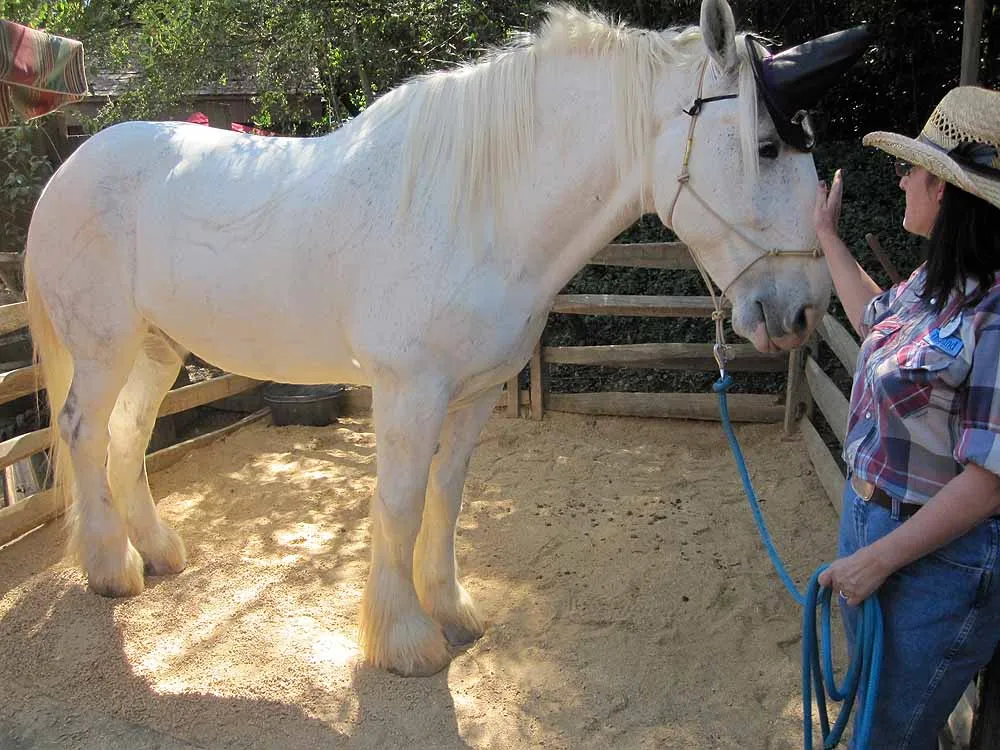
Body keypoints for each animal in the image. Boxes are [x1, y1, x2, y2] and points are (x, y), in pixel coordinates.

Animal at [24, 0, 830, 676]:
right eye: (765, 146)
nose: (805, 310)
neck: (476, 208)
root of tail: (71, 167)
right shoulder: (409, 391)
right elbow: (401, 503)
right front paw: (405, 639)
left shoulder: (474, 395)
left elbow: (446, 498)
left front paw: (450, 608)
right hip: (104, 350)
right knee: (83, 431)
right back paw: (111, 568)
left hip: (157, 347)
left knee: (127, 436)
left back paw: (158, 552)